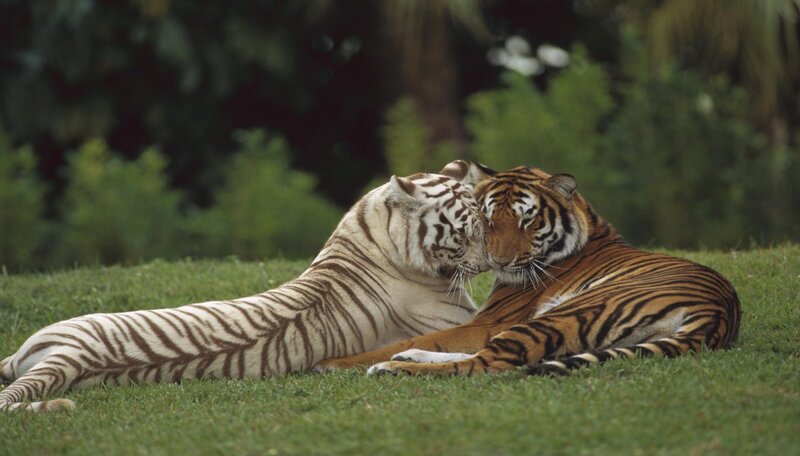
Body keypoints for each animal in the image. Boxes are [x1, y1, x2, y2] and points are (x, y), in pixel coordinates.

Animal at [0, 160, 486, 411]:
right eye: (464, 233)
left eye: (486, 223)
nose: (490, 262)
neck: (375, 229)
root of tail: (69, 355)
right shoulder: (460, 318)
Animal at [314, 163, 741, 377]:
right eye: (488, 219)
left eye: (528, 220)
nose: (497, 262)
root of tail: (718, 313)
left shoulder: (489, 321)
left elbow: (426, 338)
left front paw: (336, 362)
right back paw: (405, 359)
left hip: (565, 314)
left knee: (487, 363)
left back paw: (386, 368)